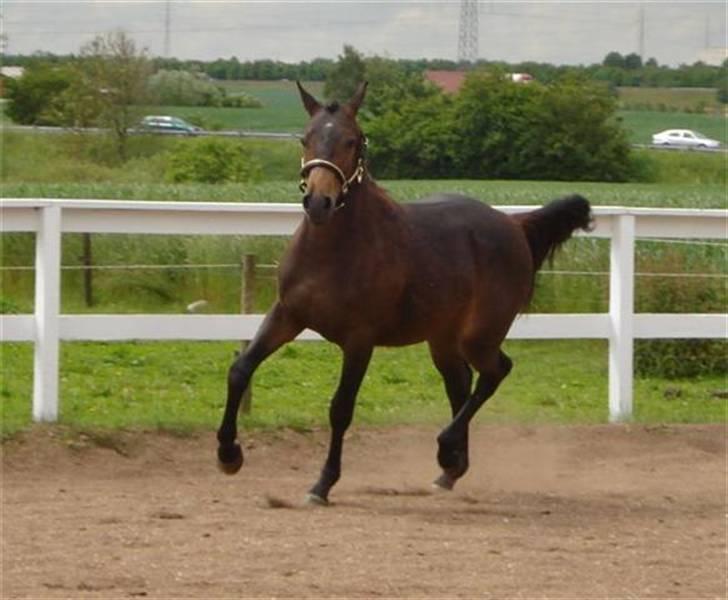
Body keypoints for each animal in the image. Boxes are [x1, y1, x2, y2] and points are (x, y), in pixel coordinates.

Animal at [216, 78, 592, 502]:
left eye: (353, 140)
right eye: (305, 138)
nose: (318, 202)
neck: (333, 251)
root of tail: (514, 225)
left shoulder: (359, 339)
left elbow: (341, 408)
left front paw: (323, 483)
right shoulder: (287, 314)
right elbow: (240, 370)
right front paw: (228, 454)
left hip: (480, 335)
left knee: (495, 372)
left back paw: (447, 449)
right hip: (443, 339)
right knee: (460, 383)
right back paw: (450, 469)